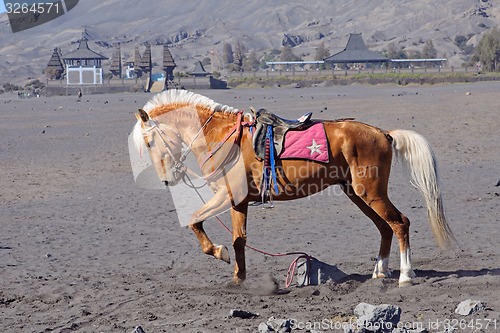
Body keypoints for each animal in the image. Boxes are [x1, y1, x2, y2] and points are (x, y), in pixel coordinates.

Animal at [131, 89, 456, 286]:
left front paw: (218, 253)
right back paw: (380, 271)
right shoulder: (239, 201)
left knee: (400, 223)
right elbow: (239, 240)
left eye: (149, 141)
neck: (222, 137)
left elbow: (194, 220)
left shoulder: (227, 196)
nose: (167, 178)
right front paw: (239, 277)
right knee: (385, 228)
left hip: (371, 193)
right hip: (358, 194)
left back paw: (405, 275)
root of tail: (384, 133)